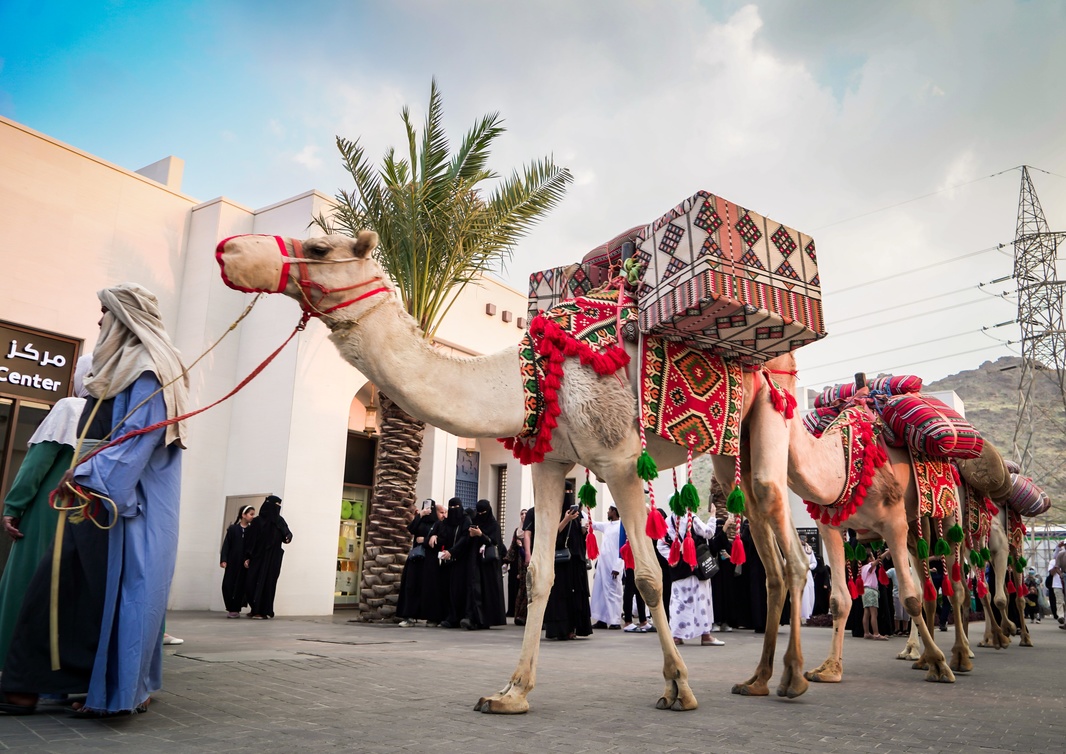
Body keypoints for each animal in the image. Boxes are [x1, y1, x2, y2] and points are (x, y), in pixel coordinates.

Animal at [218, 231, 814, 712]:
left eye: (319, 248)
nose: (230, 250)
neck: (530, 376)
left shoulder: (619, 460)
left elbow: (647, 575)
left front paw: (678, 687)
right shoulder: (549, 462)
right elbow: (539, 573)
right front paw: (511, 692)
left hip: (769, 407)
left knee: (787, 542)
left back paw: (795, 679)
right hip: (731, 448)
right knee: (765, 541)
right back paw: (758, 679)